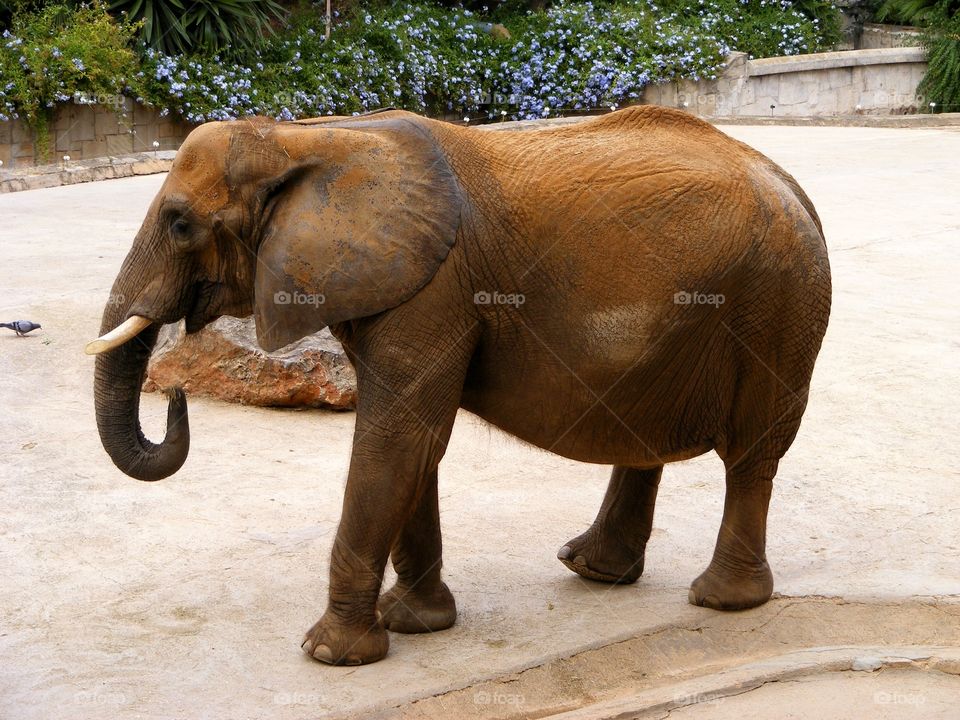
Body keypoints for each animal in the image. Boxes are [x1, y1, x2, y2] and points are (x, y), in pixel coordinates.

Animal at [87, 106, 831, 666]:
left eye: (180, 223)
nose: (175, 397)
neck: (307, 136)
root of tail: (793, 186)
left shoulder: (434, 290)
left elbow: (398, 439)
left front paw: (330, 654)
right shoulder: (397, 286)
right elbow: (414, 445)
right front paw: (414, 622)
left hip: (774, 307)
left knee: (752, 455)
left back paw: (720, 600)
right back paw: (592, 569)